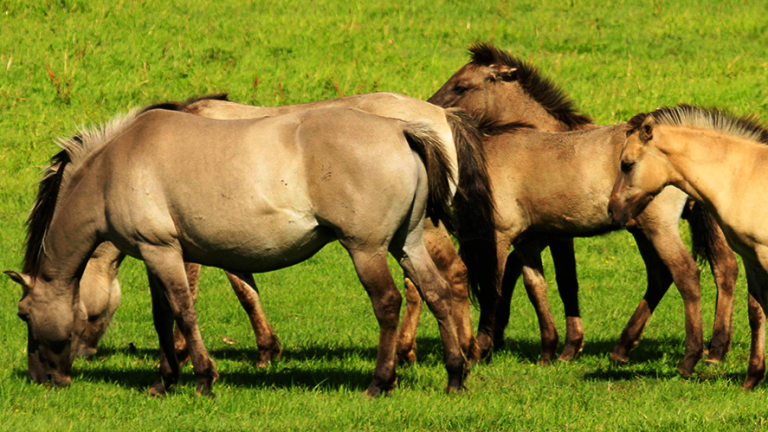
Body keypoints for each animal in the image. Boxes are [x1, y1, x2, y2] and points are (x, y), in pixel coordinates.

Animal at [4, 104, 498, 394]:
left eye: (23, 314)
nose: (44, 379)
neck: (115, 167)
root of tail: (403, 131)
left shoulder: (163, 252)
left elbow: (184, 312)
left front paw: (203, 378)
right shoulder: (154, 254)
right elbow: (164, 318)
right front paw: (164, 381)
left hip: (368, 249)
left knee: (389, 303)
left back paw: (381, 382)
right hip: (406, 242)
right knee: (436, 294)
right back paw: (455, 377)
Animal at [426, 44, 736, 374]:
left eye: (461, 86)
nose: (430, 107)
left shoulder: (553, 235)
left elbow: (556, 281)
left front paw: (559, 346)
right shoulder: (541, 233)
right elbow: (533, 279)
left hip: (661, 227)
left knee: (695, 271)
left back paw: (700, 352)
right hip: (663, 227)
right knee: (700, 270)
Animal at [608, 106, 768, 390]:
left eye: (627, 164)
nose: (612, 210)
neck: (743, 176)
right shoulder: (752, 258)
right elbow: (757, 313)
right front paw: (752, 378)